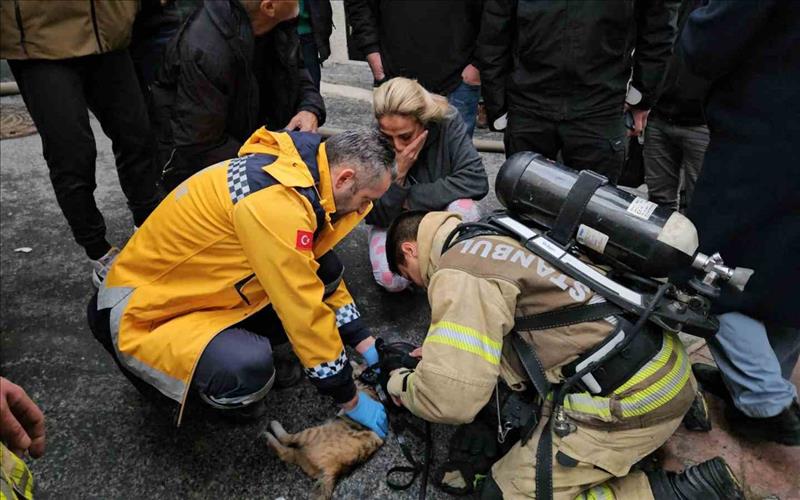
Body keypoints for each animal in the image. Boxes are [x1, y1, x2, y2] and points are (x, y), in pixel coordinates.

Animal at [264, 363, 385, 500]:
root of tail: (336, 468)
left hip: (312, 433)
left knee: (286, 439)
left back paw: (270, 429)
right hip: (304, 458)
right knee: (285, 453)